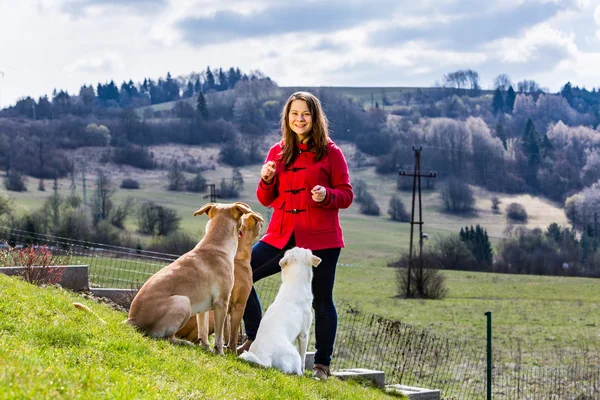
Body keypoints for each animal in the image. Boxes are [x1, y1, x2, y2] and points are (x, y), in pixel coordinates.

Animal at [125, 202, 252, 354]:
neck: (216, 245)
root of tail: (132, 319)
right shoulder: (222, 303)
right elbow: (219, 336)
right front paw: (219, 353)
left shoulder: (205, 309)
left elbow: (203, 331)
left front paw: (206, 349)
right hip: (183, 302)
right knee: (165, 337)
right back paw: (184, 342)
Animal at [176, 211, 264, 352]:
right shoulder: (239, 306)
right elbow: (233, 335)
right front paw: (232, 352)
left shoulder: (226, 309)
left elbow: (225, 332)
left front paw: (224, 347)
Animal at [240, 247, 322, 376]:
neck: (295, 283)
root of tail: (265, 357)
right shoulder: (304, 334)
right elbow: (303, 357)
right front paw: (304, 372)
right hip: (293, 353)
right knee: (295, 368)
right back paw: (300, 374)